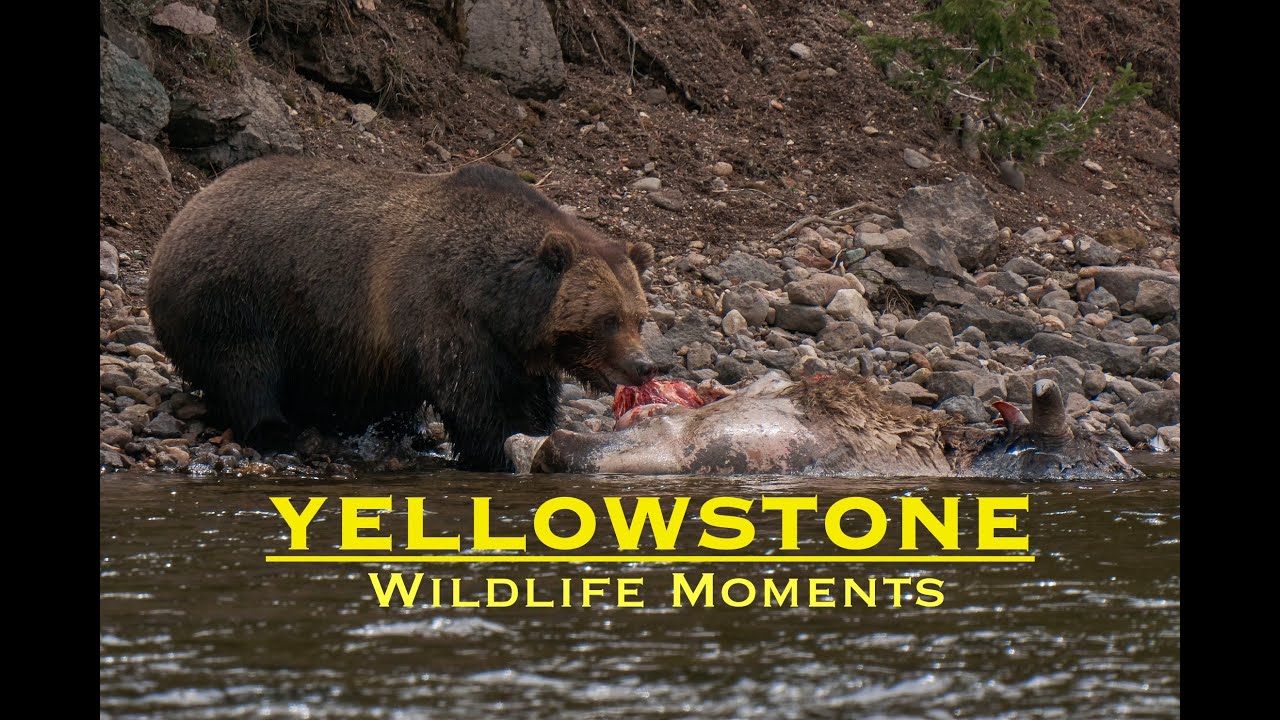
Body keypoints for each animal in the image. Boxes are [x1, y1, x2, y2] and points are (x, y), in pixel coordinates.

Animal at [146, 157, 657, 470]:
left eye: (639, 316)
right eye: (607, 319)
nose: (644, 365)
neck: (498, 300)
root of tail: (182, 215)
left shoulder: (512, 347)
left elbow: (530, 396)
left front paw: (539, 433)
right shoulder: (445, 312)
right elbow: (477, 399)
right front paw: (499, 449)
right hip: (235, 296)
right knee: (243, 367)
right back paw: (275, 428)